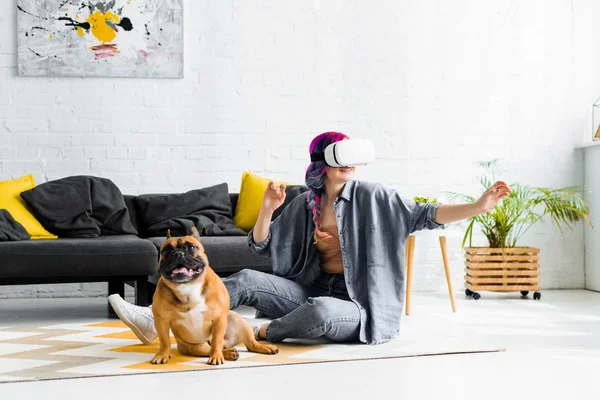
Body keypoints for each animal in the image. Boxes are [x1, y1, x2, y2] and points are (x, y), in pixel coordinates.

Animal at [151, 227, 280, 364]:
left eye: (191, 247)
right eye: (165, 250)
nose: (177, 253)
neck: (188, 286)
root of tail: (228, 342)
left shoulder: (219, 318)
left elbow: (216, 340)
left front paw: (216, 357)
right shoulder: (161, 320)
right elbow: (165, 341)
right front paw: (162, 355)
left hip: (238, 321)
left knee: (248, 344)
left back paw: (264, 347)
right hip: (194, 347)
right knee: (208, 349)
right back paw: (229, 353)